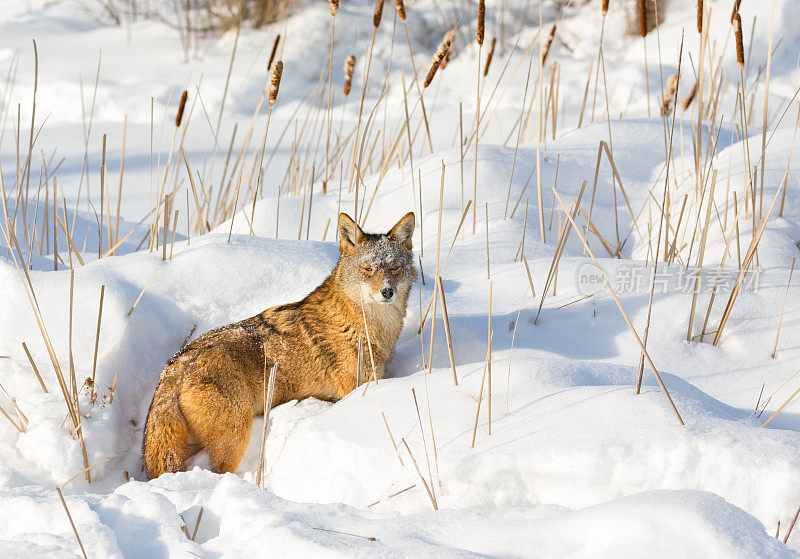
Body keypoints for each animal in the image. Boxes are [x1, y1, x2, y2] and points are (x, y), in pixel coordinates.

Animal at [144, 212, 416, 480]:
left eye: (395, 267)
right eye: (367, 269)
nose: (387, 291)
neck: (362, 324)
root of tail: (174, 367)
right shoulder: (356, 387)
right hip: (235, 439)